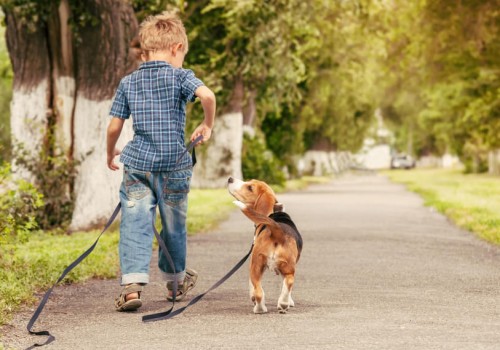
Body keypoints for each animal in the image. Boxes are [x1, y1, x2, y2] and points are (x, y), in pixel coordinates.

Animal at [227, 176, 300, 314]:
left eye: (250, 187)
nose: (230, 178)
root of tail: (277, 230)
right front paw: (289, 302)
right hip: (287, 268)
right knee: (289, 281)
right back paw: (283, 304)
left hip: (255, 265)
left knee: (259, 292)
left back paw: (260, 308)